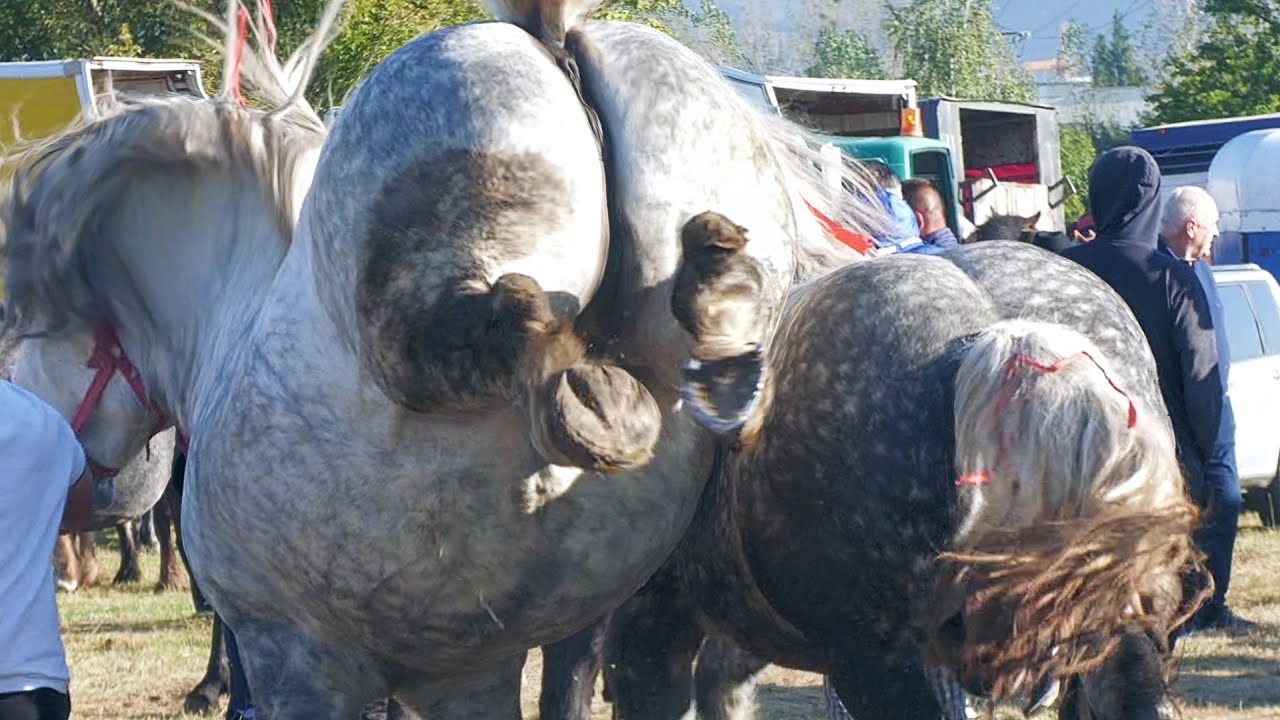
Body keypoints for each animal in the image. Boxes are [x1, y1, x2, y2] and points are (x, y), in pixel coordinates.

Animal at [1, 0, 890, 716]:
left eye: (25, 343)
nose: (90, 498)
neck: (234, 309)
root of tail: (547, 33)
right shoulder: (467, 674)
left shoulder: (296, 655)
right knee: (696, 334)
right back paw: (711, 304)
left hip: (440, 257)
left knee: (493, 326)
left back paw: (595, 407)